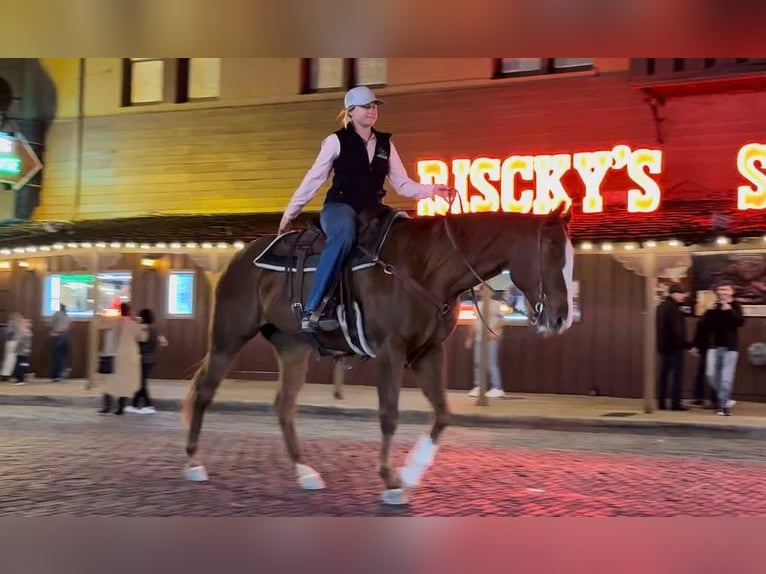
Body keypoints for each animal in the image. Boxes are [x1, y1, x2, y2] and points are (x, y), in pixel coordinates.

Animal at [182, 209, 576, 506]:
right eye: (552, 252)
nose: (561, 317)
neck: (425, 266)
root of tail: (241, 256)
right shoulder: (391, 349)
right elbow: (389, 415)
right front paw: (390, 481)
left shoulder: (428, 353)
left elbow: (442, 413)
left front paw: (411, 472)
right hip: (228, 338)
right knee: (204, 391)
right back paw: (193, 463)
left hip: (292, 347)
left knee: (283, 405)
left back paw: (305, 472)